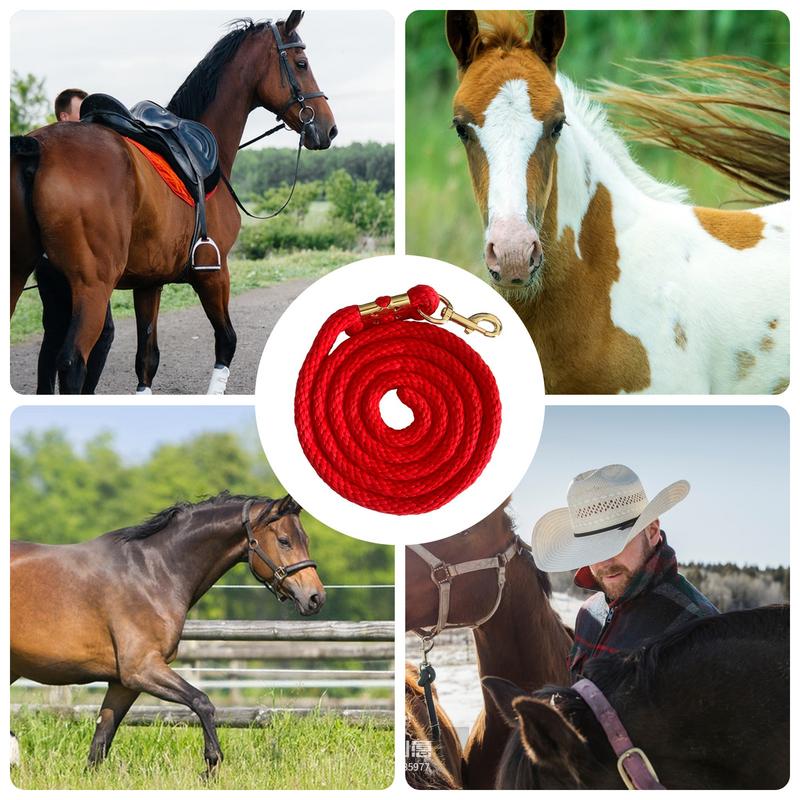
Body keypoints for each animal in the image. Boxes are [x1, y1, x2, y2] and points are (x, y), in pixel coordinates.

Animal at [10, 11, 336, 394]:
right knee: (72, 363)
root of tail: (38, 149)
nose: (328, 128)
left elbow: (146, 361)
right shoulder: (213, 273)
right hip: (92, 288)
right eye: (301, 64)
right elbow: (227, 341)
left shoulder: (149, 284)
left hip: (22, 275)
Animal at [10, 492, 325, 773]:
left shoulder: (124, 683)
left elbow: (100, 742)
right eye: (284, 541)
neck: (152, 573)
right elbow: (202, 702)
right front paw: (211, 764)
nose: (315, 598)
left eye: (306, 540)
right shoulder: (142, 669)